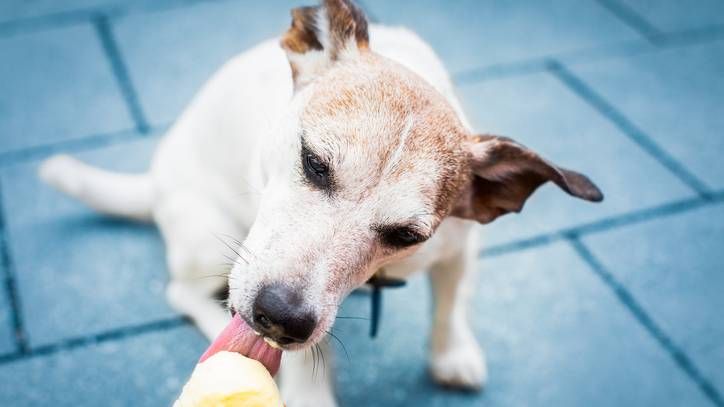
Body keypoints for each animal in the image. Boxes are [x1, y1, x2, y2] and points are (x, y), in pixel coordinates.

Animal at [39, 0, 604, 404]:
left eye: (407, 235)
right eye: (313, 162)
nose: (280, 317)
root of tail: (154, 182)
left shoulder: (458, 249)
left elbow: (450, 306)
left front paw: (452, 354)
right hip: (210, 237)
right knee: (184, 294)